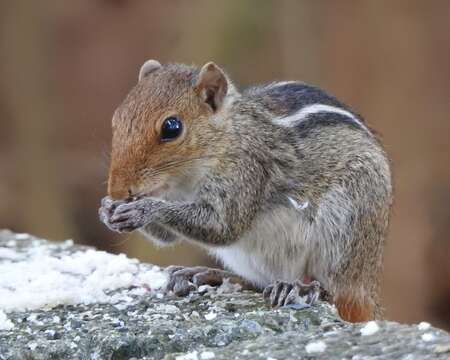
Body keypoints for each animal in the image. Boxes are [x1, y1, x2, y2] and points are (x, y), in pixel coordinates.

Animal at [99, 59, 394, 324]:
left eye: (172, 127)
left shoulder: (246, 172)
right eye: (116, 118)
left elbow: (223, 226)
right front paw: (107, 209)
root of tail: (368, 286)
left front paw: (143, 209)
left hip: (344, 230)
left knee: (334, 291)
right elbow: (167, 238)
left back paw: (301, 288)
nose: (117, 191)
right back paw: (209, 274)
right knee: (256, 282)